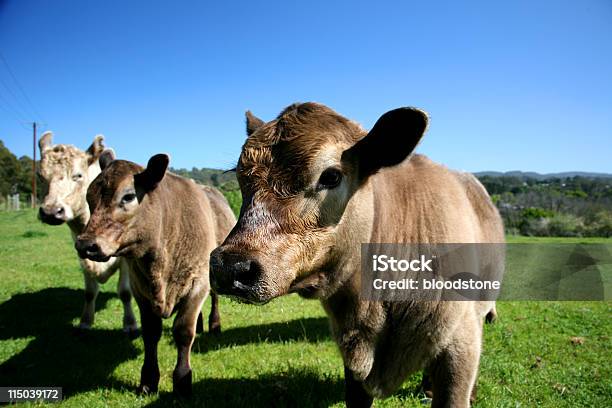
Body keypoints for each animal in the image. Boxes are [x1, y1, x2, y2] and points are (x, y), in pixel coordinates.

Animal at [74, 151, 237, 396]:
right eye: (89, 197)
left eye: (128, 197)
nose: (85, 244)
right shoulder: (139, 289)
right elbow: (151, 332)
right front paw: (149, 380)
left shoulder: (198, 283)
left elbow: (183, 331)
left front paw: (182, 381)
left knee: (215, 298)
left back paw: (213, 324)